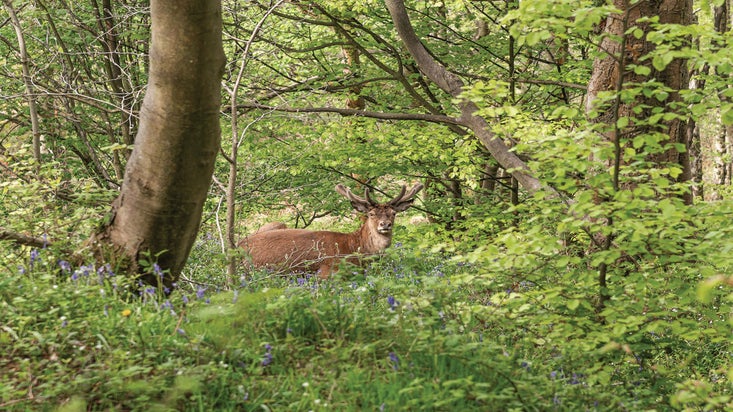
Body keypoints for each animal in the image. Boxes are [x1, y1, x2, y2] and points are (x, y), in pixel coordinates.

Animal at [238, 183, 424, 278]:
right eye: (371, 214)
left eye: (393, 213)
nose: (385, 225)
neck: (355, 248)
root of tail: (237, 247)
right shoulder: (327, 271)